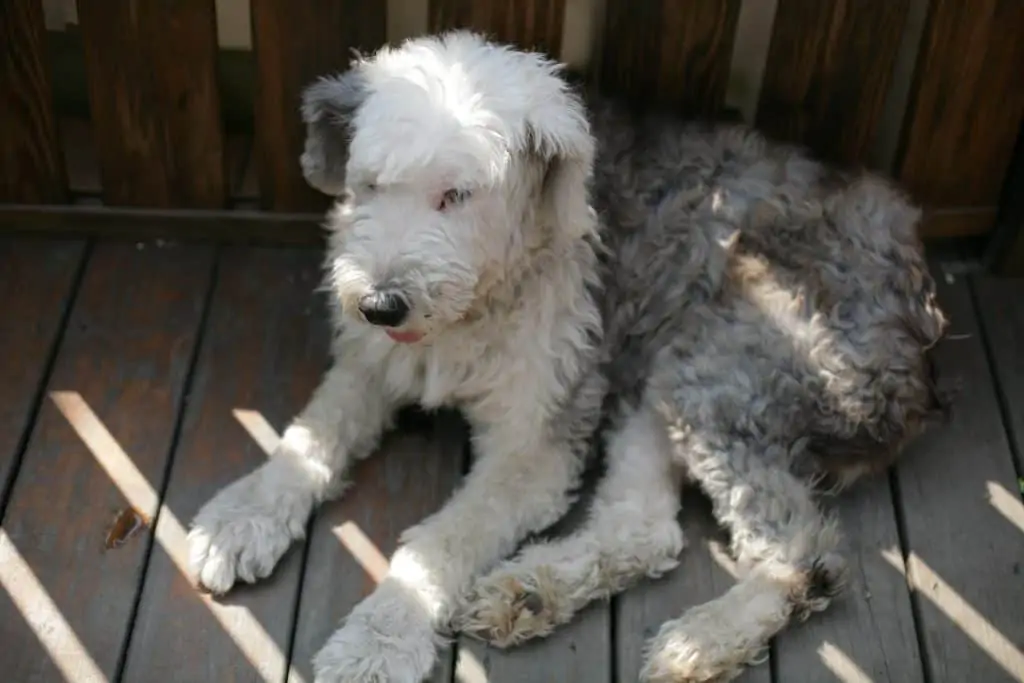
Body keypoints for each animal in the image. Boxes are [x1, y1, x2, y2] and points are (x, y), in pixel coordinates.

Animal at [182, 31, 942, 683]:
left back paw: (699, 641)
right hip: (658, 378)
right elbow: (310, 436)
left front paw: (377, 643)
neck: (475, 306)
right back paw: (531, 593)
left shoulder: (534, 443)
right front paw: (239, 519)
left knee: (804, 553)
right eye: (369, 185)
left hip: (721, 371)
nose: (380, 304)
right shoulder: (371, 367)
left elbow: (442, 539)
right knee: (645, 528)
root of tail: (922, 316)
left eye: (456, 194)